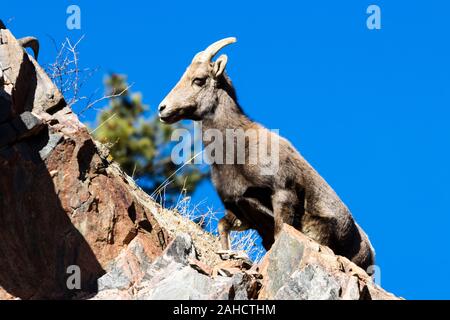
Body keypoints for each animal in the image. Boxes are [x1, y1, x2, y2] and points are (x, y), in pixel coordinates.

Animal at [159, 37, 376, 270]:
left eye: (199, 80)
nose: (162, 109)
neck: (237, 151)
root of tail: (369, 253)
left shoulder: (282, 196)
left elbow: (279, 235)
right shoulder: (242, 212)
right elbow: (222, 226)